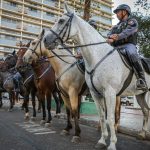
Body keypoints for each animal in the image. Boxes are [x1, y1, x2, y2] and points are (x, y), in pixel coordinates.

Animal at [30, 4, 149, 150]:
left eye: (61, 21)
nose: (47, 40)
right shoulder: (94, 93)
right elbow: (101, 116)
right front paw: (102, 140)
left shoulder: (108, 92)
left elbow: (108, 118)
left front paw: (111, 144)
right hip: (140, 94)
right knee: (145, 111)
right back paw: (142, 134)